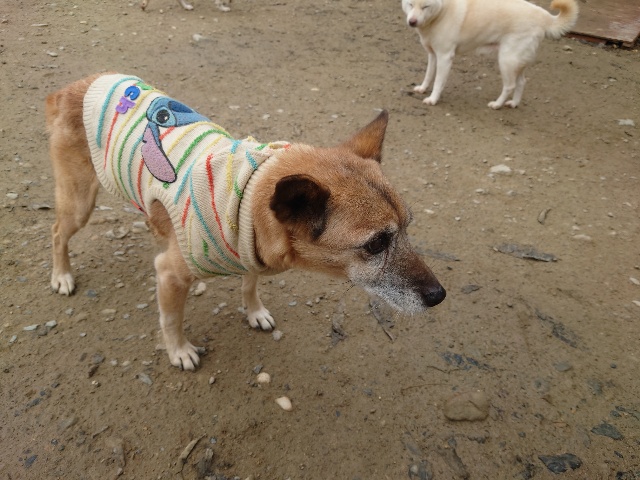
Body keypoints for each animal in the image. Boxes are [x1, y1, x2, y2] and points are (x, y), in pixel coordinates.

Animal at [45, 73, 446, 370]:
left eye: (408, 226)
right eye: (376, 244)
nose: (439, 296)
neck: (247, 198)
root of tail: (73, 88)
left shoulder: (251, 251)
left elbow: (250, 285)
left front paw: (254, 312)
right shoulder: (171, 275)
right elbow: (171, 319)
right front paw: (178, 350)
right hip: (80, 201)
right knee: (57, 231)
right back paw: (62, 276)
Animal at [401, 0, 578, 108]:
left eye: (425, 6)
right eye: (410, 4)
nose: (412, 22)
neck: (442, 11)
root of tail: (544, 16)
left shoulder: (445, 57)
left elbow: (438, 82)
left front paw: (432, 99)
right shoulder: (432, 55)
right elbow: (428, 75)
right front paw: (423, 88)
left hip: (506, 61)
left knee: (510, 85)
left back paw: (497, 104)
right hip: (517, 62)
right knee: (521, 82)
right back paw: (514, 103)